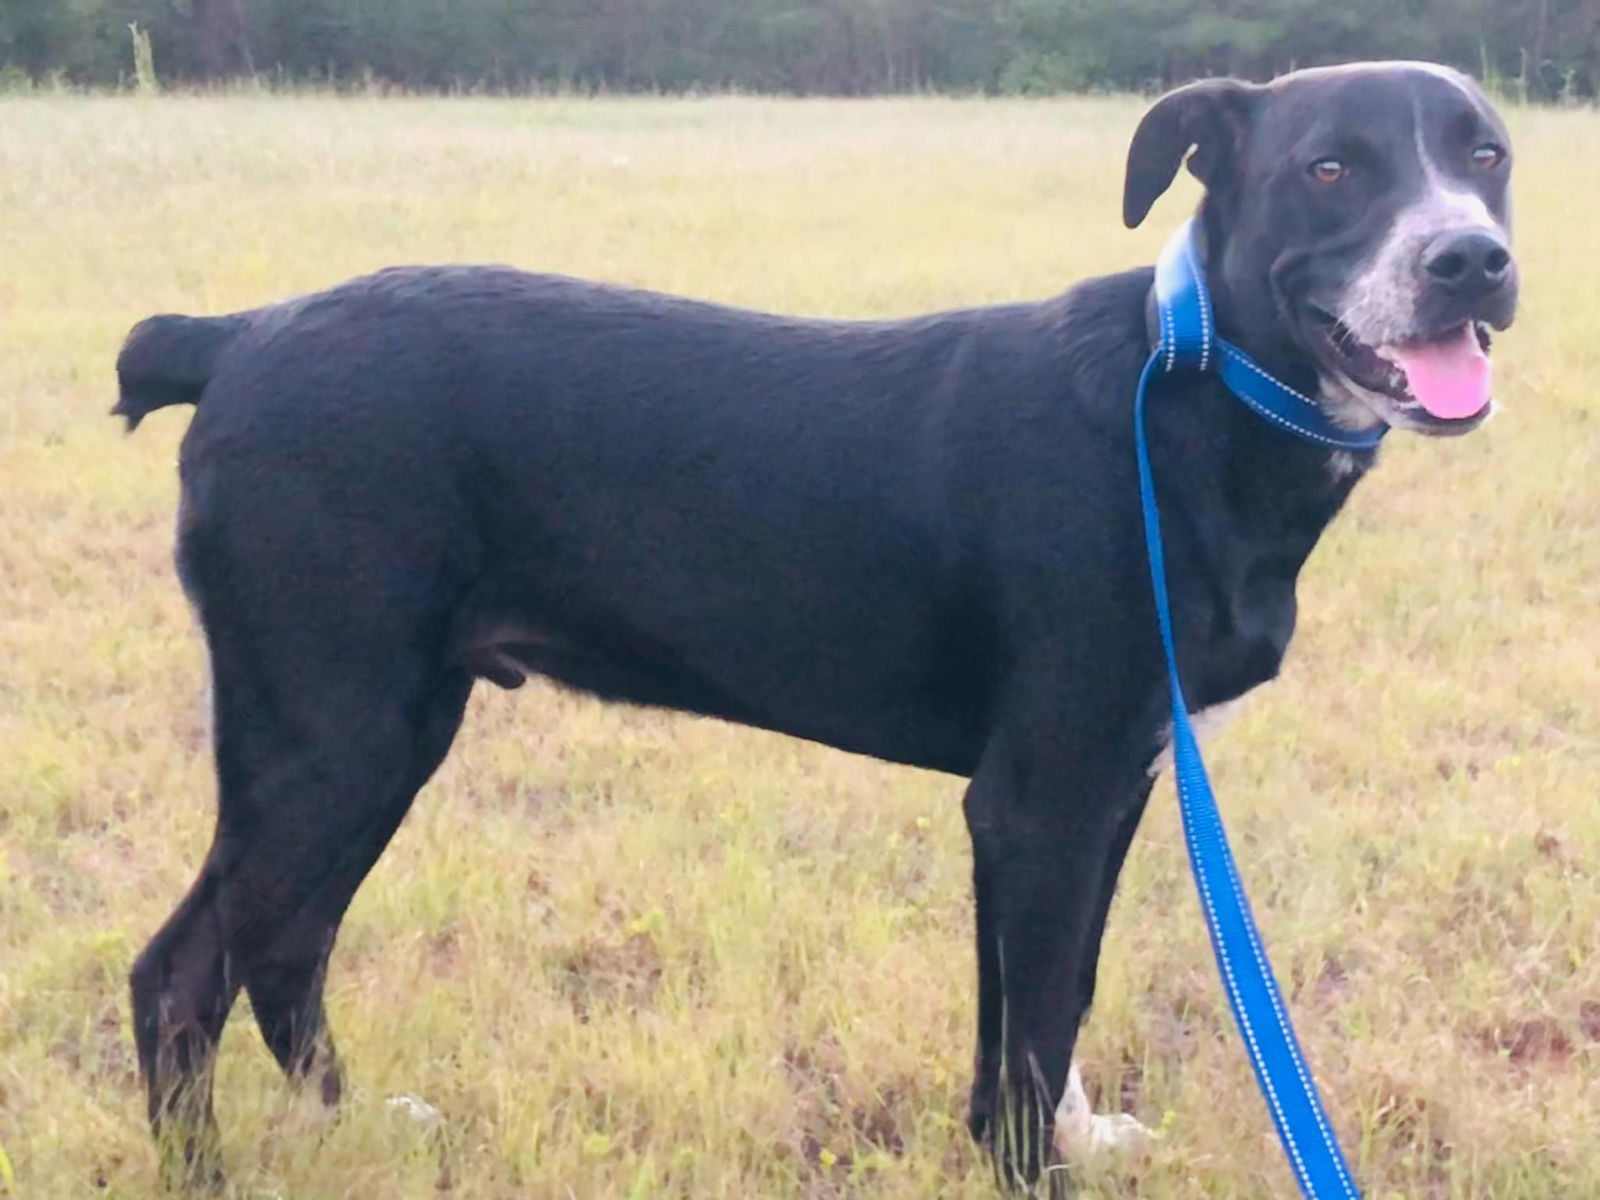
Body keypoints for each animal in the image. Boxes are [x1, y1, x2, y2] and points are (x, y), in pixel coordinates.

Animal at [116, 61, 1510, 1190]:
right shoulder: (1043, 797)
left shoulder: (1104, 786)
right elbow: (1033, 1024)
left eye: (1487, 157)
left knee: (284, 947)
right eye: (1329, 169)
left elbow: (1048, 1001)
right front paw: (1031, 1170)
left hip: (380, 731)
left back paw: (354, 1124)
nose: (1470, 260)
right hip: (333, 729)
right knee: (185, 973)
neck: (1190, 392)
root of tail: (235, 338)